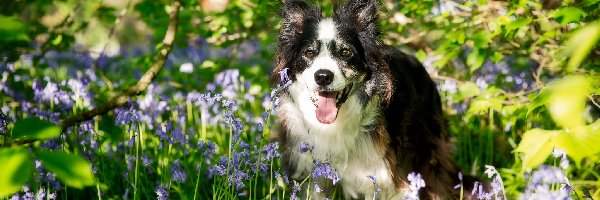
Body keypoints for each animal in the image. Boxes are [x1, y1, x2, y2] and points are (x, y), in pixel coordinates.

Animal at [272, 0, 468, 198]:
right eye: (309, 53)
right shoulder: (312, 173)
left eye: (346, 52)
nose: (323, 76)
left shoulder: (383, 177)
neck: (333, 125)